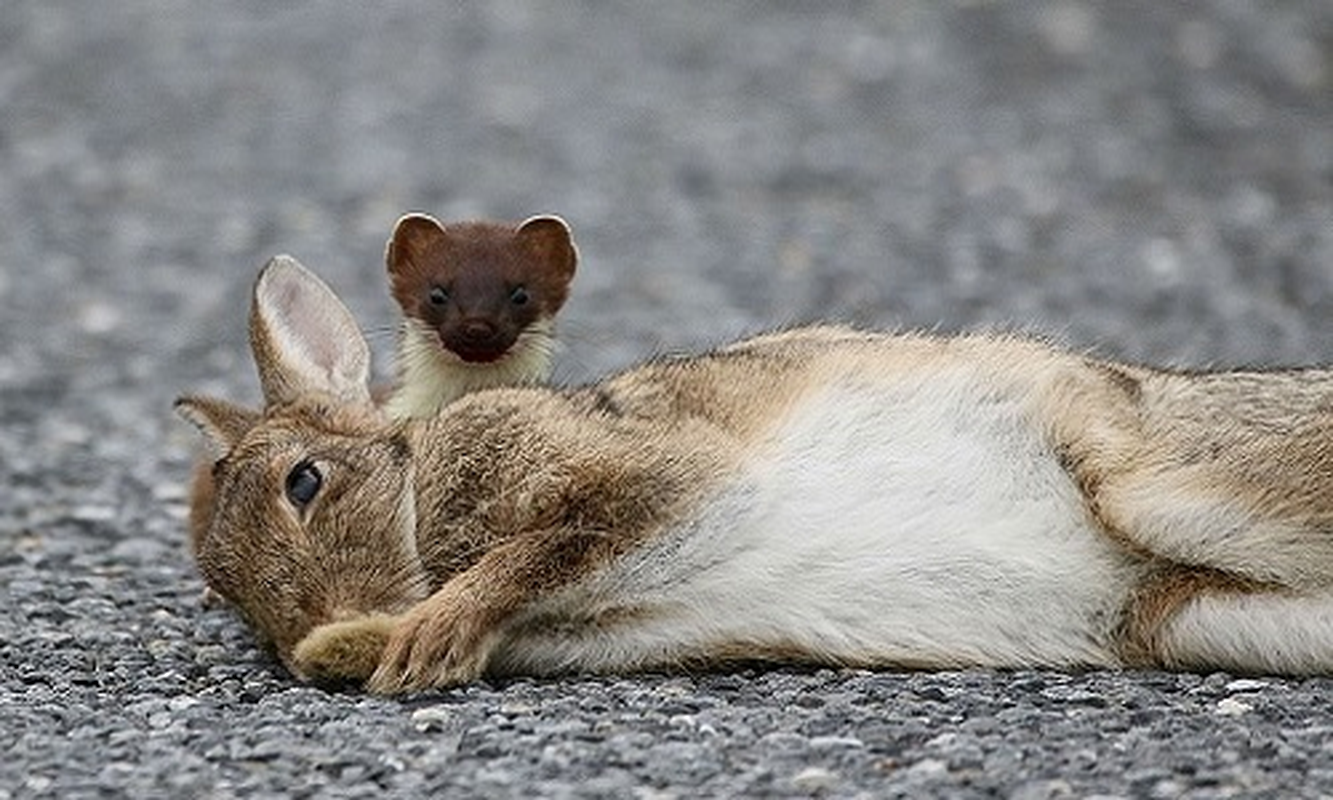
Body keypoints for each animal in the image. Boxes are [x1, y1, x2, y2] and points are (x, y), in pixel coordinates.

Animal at [177, 256, 1333, 693]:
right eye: (221, 590)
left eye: (305, 483)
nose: (306, 641)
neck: (416, 482)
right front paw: (362, 649)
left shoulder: (647, 475)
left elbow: (548, 544)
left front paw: (420, 639)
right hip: (1191, 614)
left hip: (1154, 484)